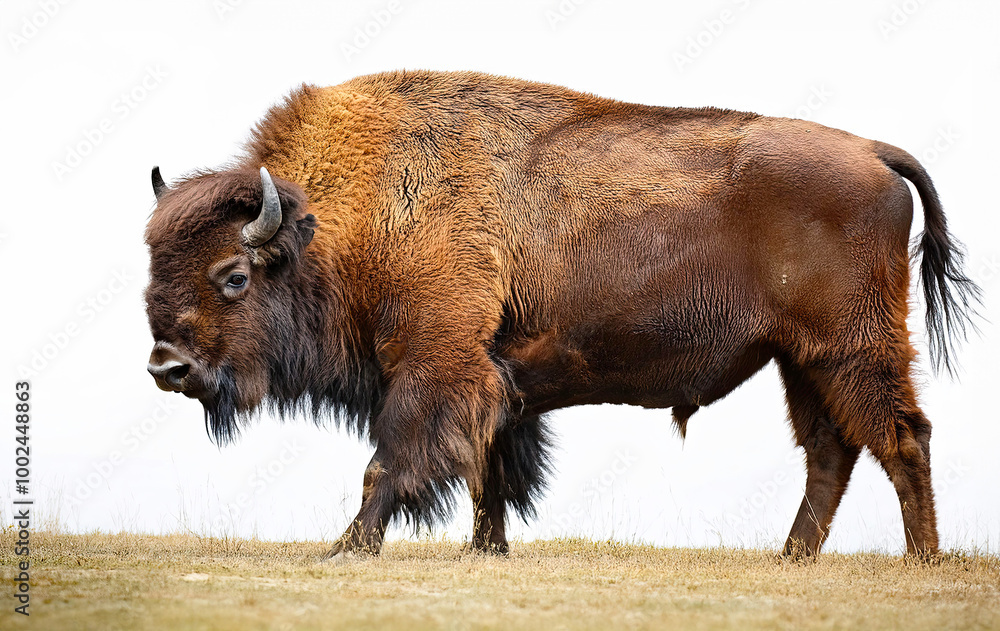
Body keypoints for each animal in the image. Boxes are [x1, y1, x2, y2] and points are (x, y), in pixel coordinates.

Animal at [146, 70, 978, 558]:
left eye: (233, 276)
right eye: (152, 264)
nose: (165, 365)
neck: (358, 207)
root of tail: (871, 150)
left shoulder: (433, 362)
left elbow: (393, 458)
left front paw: (347, 547)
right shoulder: (493, 380)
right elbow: (485, 470)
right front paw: (484, 551)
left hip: (851, 347)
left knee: (902, 437)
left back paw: (922, 559)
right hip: (799, 359)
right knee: (831, 451)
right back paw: (793, 556)